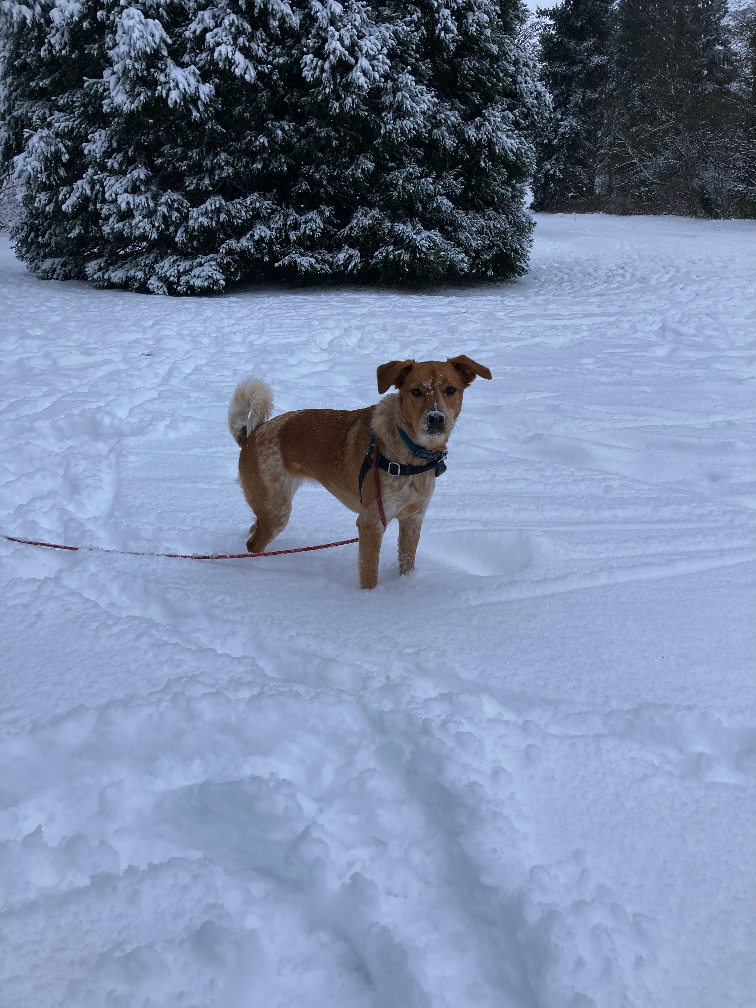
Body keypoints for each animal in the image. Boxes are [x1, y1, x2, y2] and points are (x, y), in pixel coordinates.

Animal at [227, 356, 493, 588]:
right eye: (416, 392)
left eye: (451, 389)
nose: (435, 418)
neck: (412, 455)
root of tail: (252, 434)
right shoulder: (371, 523)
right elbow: (369, 575)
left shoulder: (412, 519)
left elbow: (407, 563)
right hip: (276, 511)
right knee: (253, 544)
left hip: (271, 508)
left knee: (253, 529)